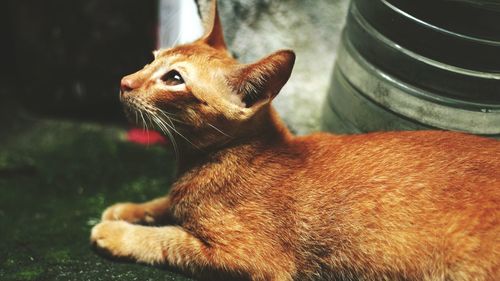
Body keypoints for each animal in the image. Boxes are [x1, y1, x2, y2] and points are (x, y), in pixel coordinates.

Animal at [91, 1, 500, 278]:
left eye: (174, 79)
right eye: (152, 58)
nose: (125, 81)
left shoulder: (249, 259)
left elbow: (169, 240)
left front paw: (118, 232)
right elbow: (167, 203)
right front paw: (129, 209)